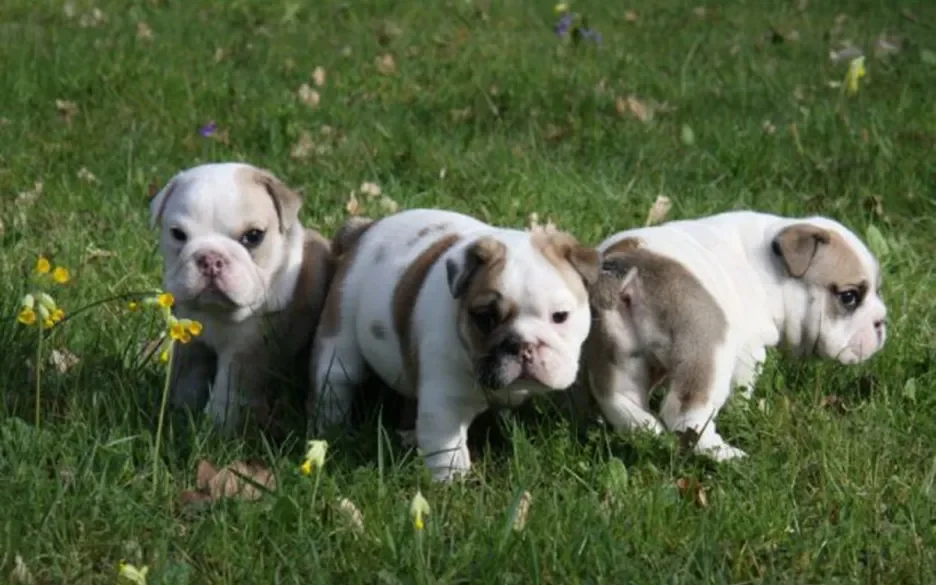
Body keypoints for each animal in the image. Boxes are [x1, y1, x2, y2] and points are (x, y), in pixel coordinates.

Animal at [148, 162, 334, 436]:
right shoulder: (190, 342)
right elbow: (187, 377)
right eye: (178, 234)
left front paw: (216, 427)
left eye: (254, 236)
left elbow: (229, 389)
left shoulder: (248, 348)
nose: (210, 259)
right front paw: (180, 411)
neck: (217, 314)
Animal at [310, 209, 596, 480]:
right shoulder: (444, 403)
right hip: (341, 335)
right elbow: (447, 451)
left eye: (560, 316)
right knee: (336, 384)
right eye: (485, 318)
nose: (523, 345)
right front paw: (451, 484)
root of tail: (363, 230)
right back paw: (334, 432)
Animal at [588, 211, 888, 460]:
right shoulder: (749, 350)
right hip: (709, 349)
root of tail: (630, 267)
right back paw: (726, 455)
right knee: (685, 415)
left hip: (616, 356)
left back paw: (647, 433)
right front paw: (746, 412)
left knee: (619, 400)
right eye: (849, 297)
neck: (772, 270)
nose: (882, 321)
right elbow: (743, 390)